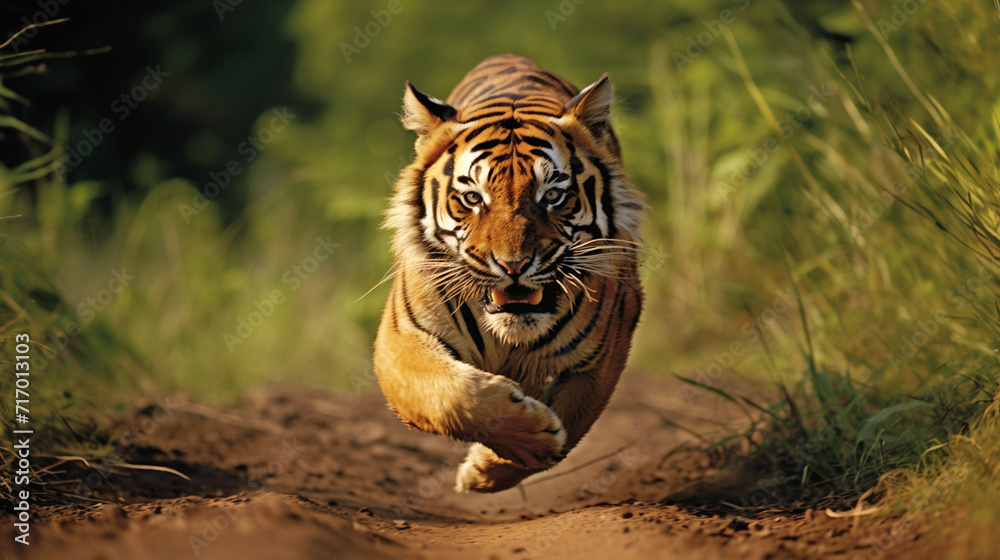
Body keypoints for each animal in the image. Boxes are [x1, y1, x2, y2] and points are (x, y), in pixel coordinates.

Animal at [374, 54, 644, 493]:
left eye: (553, 195)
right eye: (472, 198)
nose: (514, 265)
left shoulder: (602, 357)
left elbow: (574, 419)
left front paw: (494, 468)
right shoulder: (400, 338)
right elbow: (447, 396)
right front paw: (531, 437)